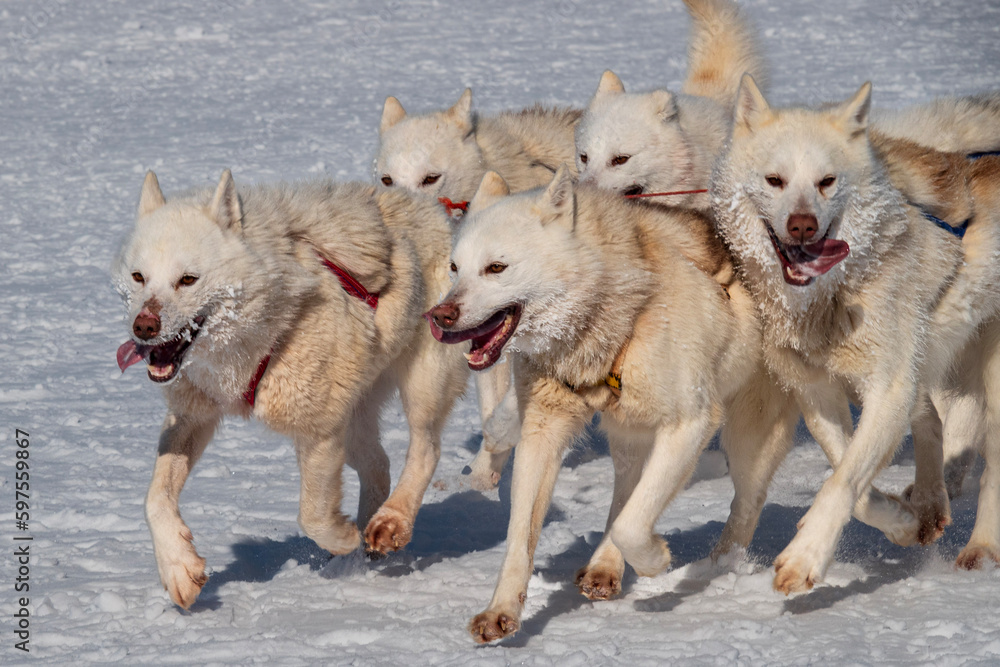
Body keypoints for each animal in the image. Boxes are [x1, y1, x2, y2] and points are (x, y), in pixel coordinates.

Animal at [111, 170, 470, 608]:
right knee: (379, 465)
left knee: (425, 449)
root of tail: (433, 210)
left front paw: (342, 538)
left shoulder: (319, 432)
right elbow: (154, 499)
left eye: (188, 280)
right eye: (139, 277)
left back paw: (390, 521)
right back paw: (368, 542)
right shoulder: (192, 417)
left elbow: (312, 515)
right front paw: (178, 567)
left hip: (422, 388)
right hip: (355, 419)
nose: (143, 326)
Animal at [430, 166, 804, 640]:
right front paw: (502, 609)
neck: (620, 315)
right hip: (630, 430)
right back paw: (604, 566)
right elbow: (520, 535)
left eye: (496, 267)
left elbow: (632, 523)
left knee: (745, 503)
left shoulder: (690, 425)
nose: (440, 316)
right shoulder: (544, 430)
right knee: (627, 485)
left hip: (746, 437)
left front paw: (656, 559)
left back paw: (719, 566)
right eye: (454, 268)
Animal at [708, 78, 1000, 596]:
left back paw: (981, 548)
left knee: (991, 471)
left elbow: (843, 481)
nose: (801, 224)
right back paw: (930, 501)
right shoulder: (817, 392)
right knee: (935, 423)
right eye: (774, 180)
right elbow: (852, 480)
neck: (830, 297)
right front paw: (903, 524)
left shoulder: (888, 389)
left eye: (827, 181)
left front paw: (805, 557)